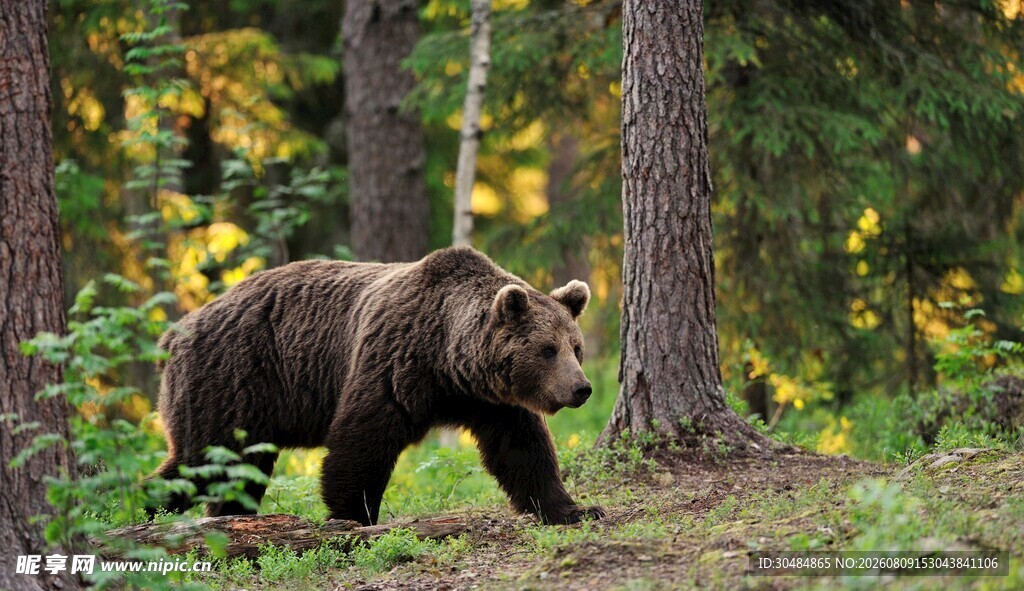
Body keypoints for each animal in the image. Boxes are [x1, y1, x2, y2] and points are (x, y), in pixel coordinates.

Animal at [152, 246, 604, 525]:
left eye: (576, 348)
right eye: (547, 349)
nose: (581, 388)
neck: (449, 360)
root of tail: (175, 332)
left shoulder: (492, 401)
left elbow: (523, 451)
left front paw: (575, 509)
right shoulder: (394, 362)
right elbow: (362, 440)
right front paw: (353, 515)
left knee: (237, 470)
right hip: (232, 380)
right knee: (203, 459)